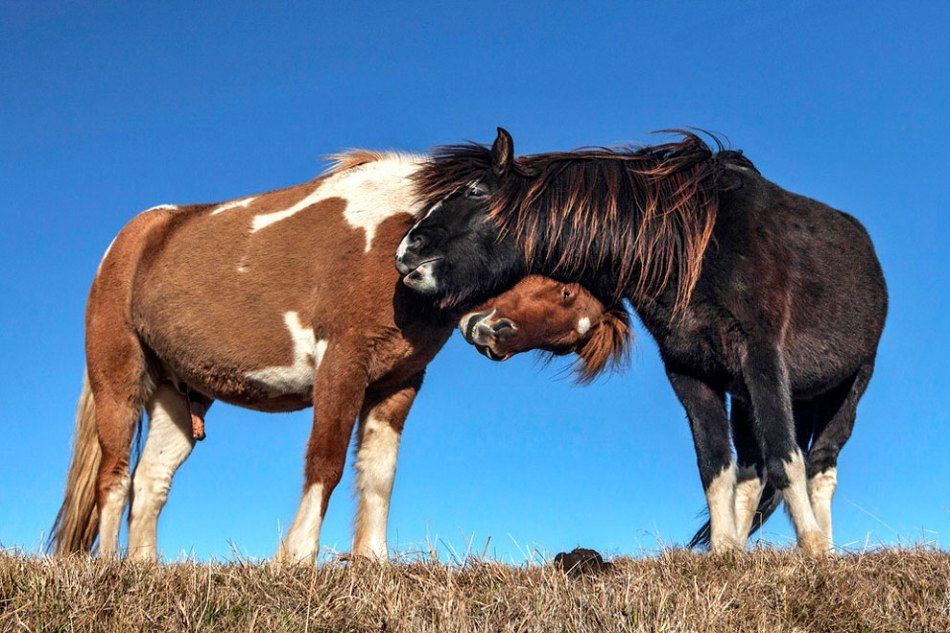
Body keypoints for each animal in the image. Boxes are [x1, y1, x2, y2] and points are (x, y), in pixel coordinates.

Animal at [398, 128, 888, 552]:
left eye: (476, 191)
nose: (406, 253)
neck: (696, 246)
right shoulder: (689, 372)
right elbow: (715, 464)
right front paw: (725, 554)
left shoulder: (763, 358)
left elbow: (786, 455)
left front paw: (813, 554)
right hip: (748, 396)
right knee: (752, 468)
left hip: (848, 386)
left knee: (821, 465)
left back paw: (824, 545)